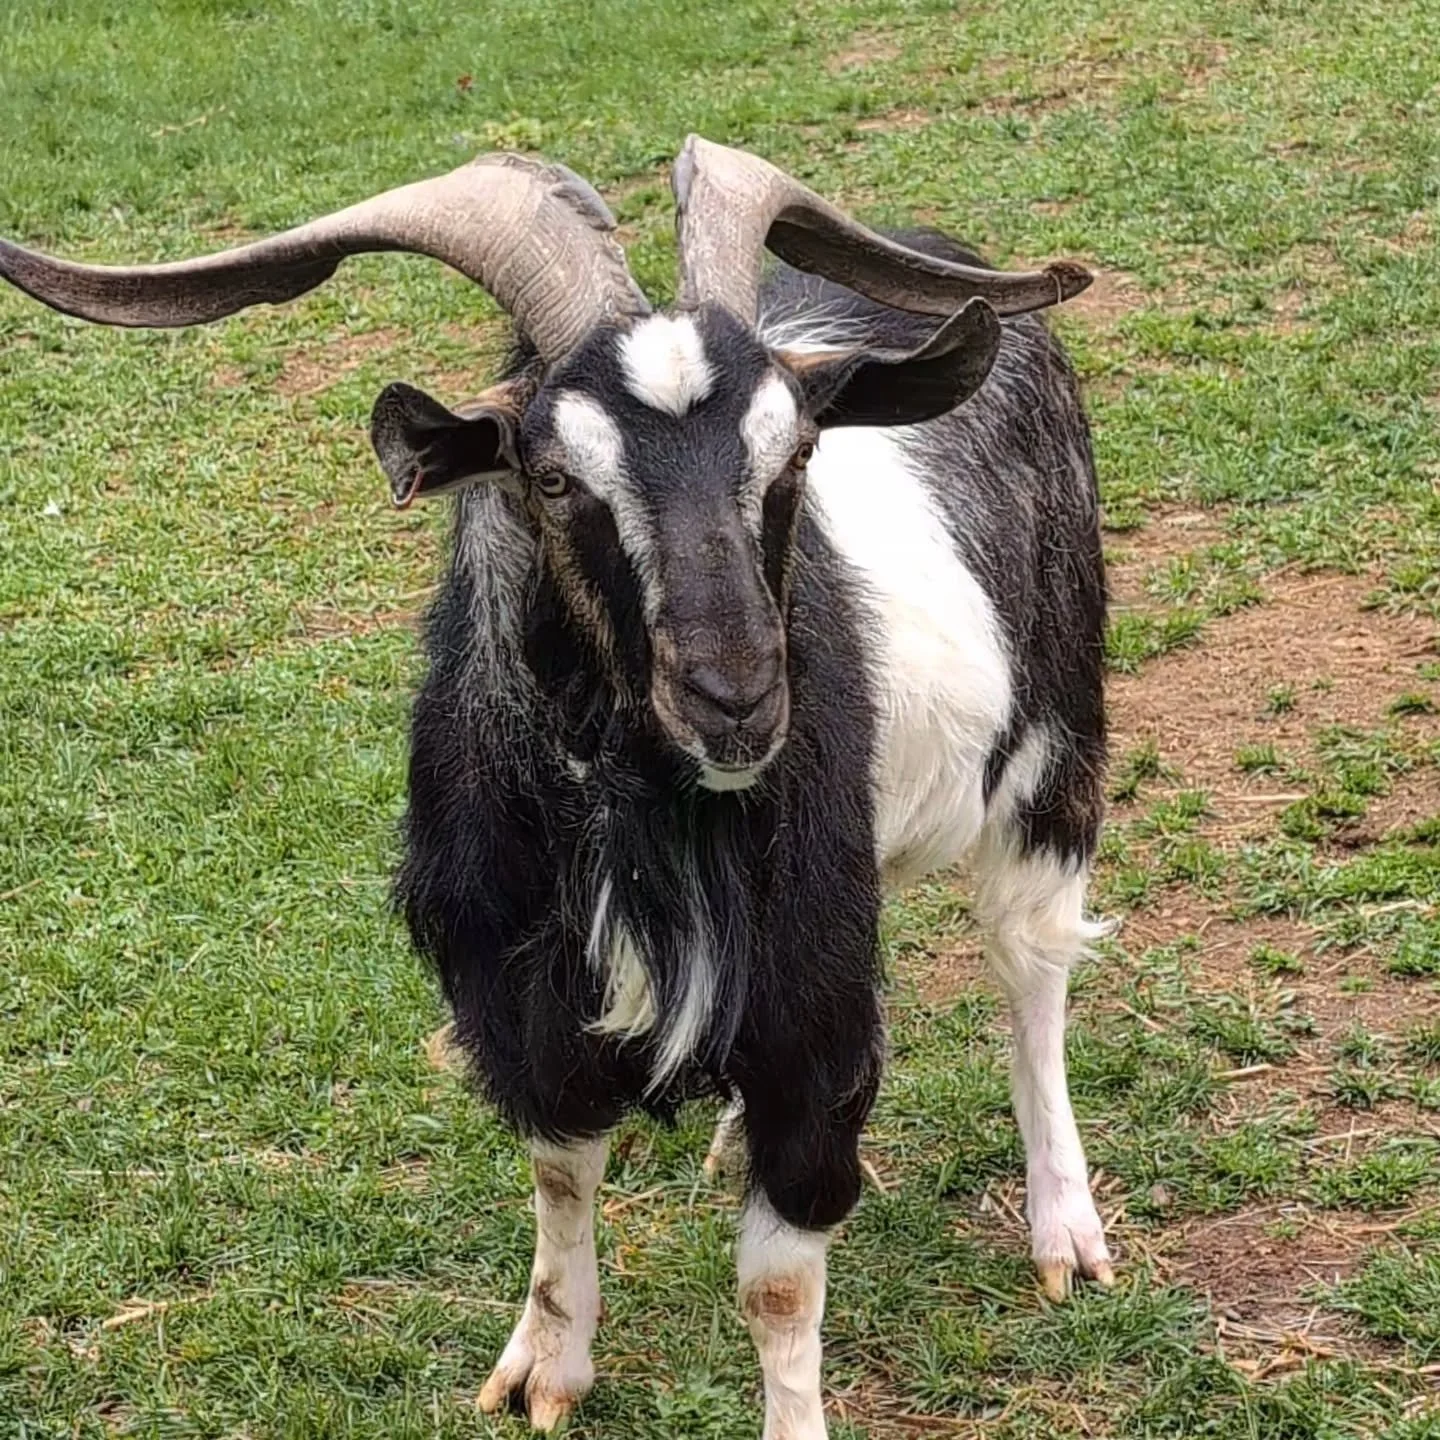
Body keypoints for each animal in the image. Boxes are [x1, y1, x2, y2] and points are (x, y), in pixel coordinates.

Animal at [1, 137, 1112, 1438]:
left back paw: (1064, 1229)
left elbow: (779, 1286)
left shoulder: (811, 1002)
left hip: (1055, 749)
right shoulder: (517, 992)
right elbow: (560, 1176)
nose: (737, 698)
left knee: (1032, 970)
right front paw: (546, 1364)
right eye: (549, 474)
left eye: (795, 454)